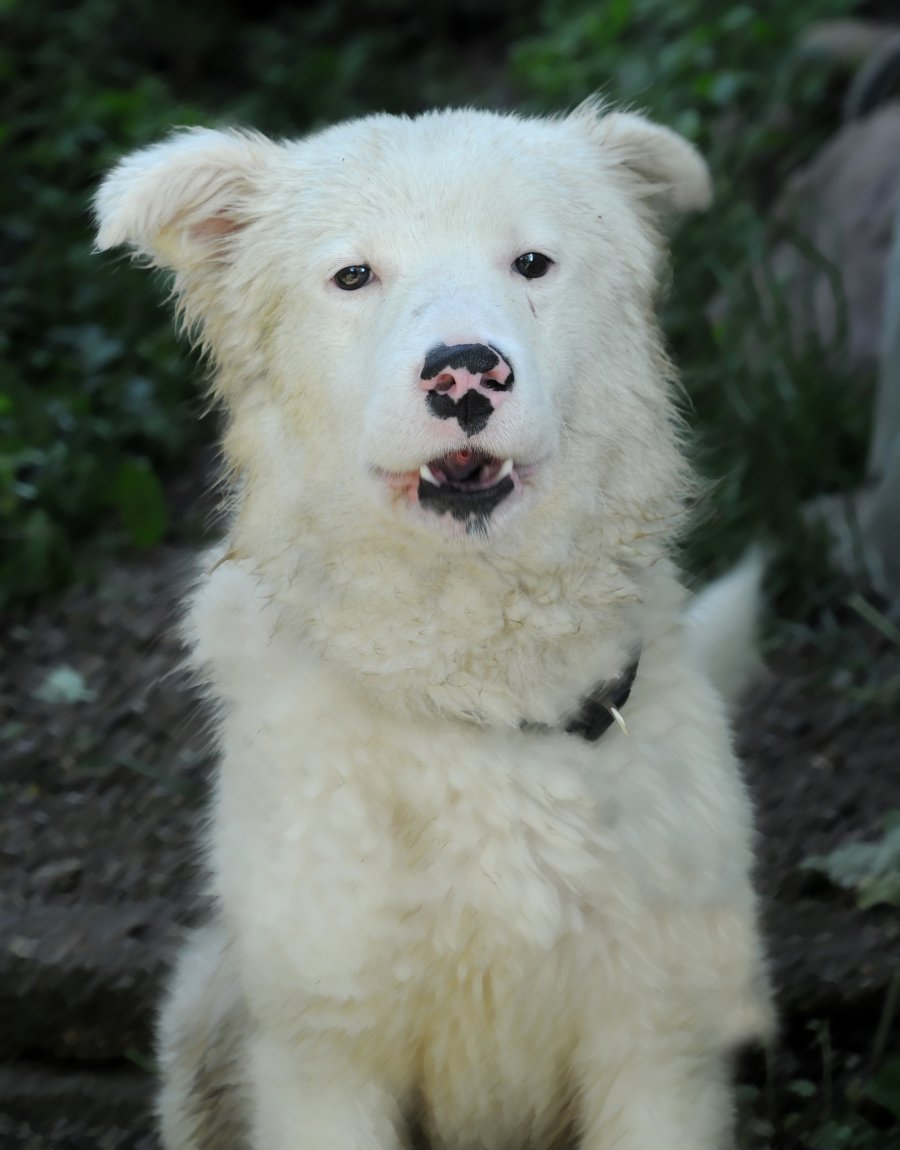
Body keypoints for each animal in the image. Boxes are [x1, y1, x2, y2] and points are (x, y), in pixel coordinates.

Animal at [96, 101, 772, 1150]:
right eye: (354, 275)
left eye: (531, 262)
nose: (465, 375)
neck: (474, 706)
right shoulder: (324, 1055)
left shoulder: (658, 1046)